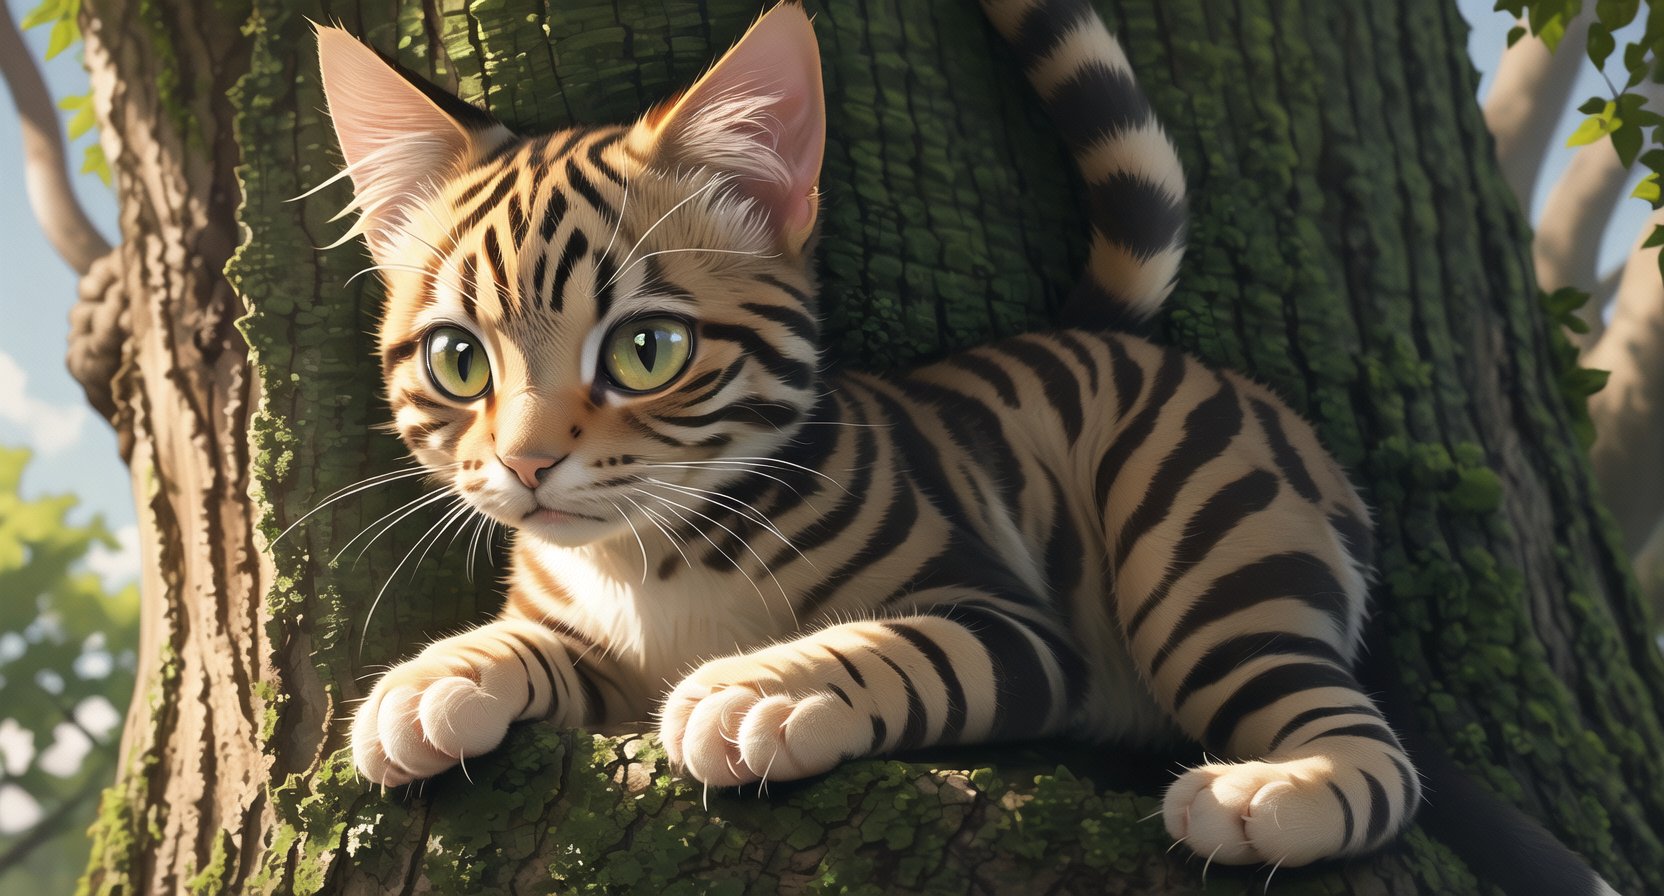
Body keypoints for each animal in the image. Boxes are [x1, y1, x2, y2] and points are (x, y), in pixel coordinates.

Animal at [314, 0, 1484, 866]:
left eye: (647, 349)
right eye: (460, 361)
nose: (525, 462)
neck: (649, 562)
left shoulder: (1011, 622)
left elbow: (892, 642)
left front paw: (756, 687)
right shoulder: (591, 646)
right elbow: (529, 642)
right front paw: (432, 678)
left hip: (1204, 558)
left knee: (1370, 749)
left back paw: (1276, 793)